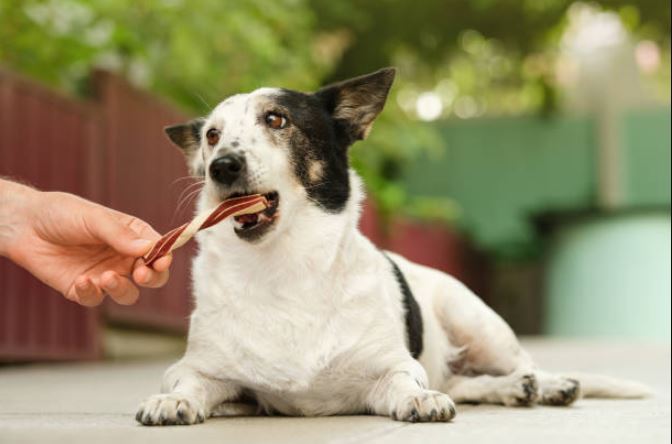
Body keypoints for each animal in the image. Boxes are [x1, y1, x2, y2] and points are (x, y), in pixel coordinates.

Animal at [135, 67, 652, 424]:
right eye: (212, 135)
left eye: (276, 119)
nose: (221, 165)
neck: (286, 269)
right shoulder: (216, 377)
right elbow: (187, 382)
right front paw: (172, 400)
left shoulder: (388, 369)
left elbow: (408, 381)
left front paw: (420, 399)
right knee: (460, 381)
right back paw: (509, 390)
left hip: (478, 323)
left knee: (522, 364)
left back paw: (548, 385)